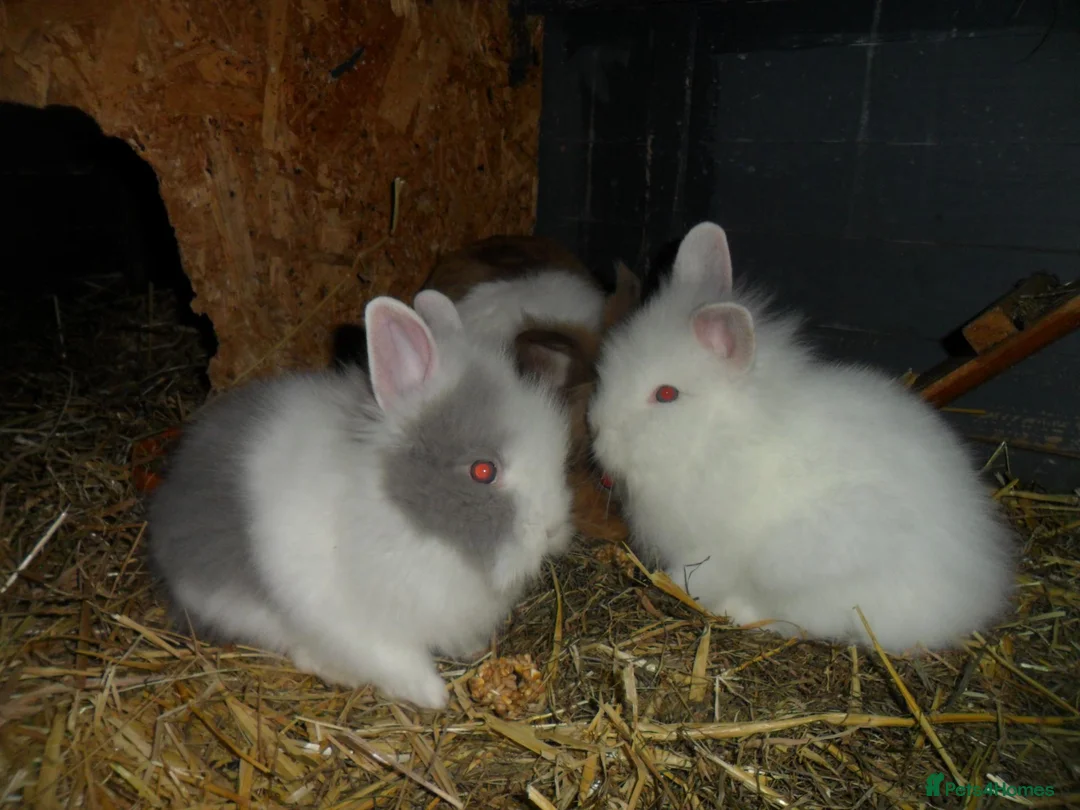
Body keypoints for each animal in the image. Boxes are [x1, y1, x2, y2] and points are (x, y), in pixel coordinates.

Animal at [147, 290, 575, 709]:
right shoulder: (354, 619)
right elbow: (396, 657)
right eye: (483, 471)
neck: (409, 521)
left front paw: (471, 650)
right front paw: (434, 696)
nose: (552, 529)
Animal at [587, 221, 1016, 653]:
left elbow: (696, 575)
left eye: (666, 394)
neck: (716, 437)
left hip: (805, 561)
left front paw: (673, 585)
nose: (597, 429)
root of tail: (978, 593)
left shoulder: (712, 548)